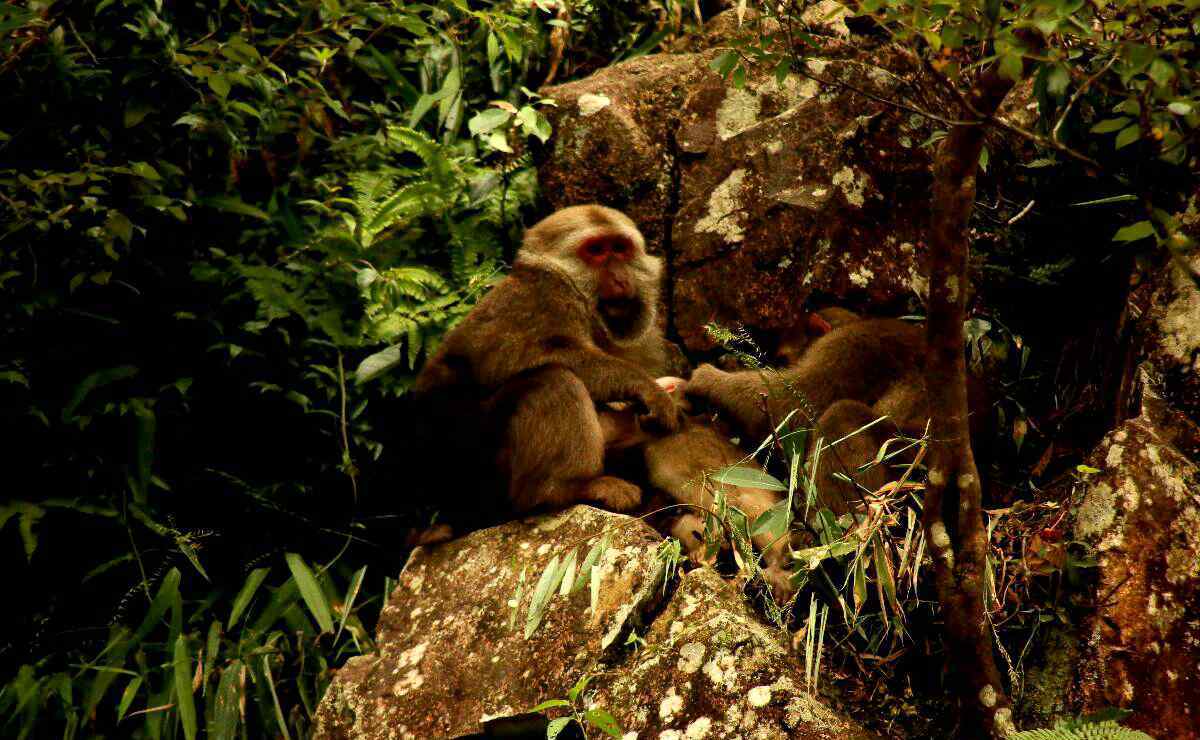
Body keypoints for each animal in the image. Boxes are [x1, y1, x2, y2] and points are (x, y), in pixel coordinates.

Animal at [412, 201, 681, 513]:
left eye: (620, 247)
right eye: (596, 250)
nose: (620, 279)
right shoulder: (543, 296)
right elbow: (515, 359)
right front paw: (648, 389)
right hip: (477, 465)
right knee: (553, 380)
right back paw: (564, 489)